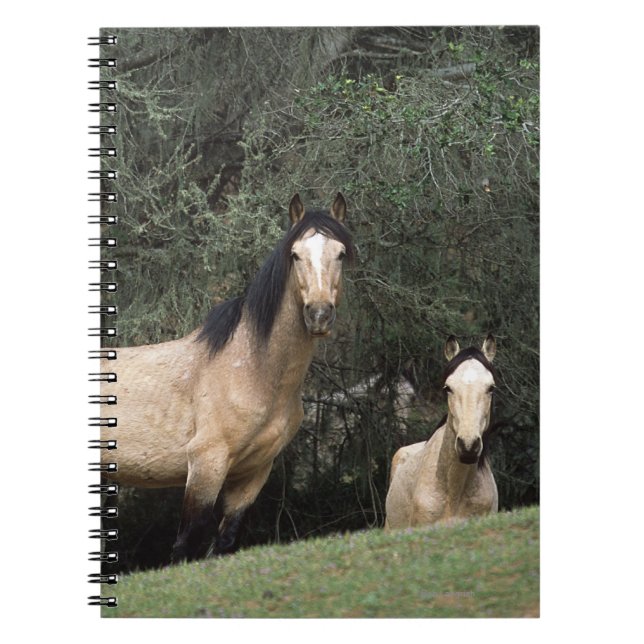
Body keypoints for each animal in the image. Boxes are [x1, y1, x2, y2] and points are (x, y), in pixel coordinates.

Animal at [101, 193, 355, 561]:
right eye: (295, 254)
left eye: (340, 253)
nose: (319, 314)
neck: (253, 369)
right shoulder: (207, 463)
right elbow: (186, 544)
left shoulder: (253, 474)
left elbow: (224, 541)